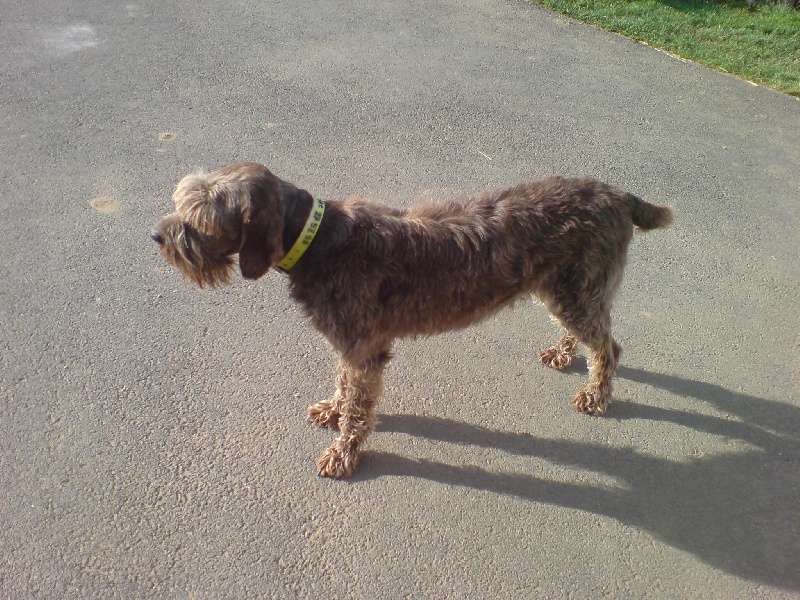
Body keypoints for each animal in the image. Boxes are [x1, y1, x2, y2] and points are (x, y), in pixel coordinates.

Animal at [152, 163, 676, 478]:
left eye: (198, 217)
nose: (157, 235)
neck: (317, 242)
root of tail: (616, 193)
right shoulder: (352, 347)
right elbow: (344, 388)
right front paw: (334, 410)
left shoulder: (365, 351)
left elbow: (360, 407)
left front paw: (345, 451)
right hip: (563, 290)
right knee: (585, 335)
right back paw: (565, 353)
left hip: (577, 291)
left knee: (608, 347)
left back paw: (596, 393)